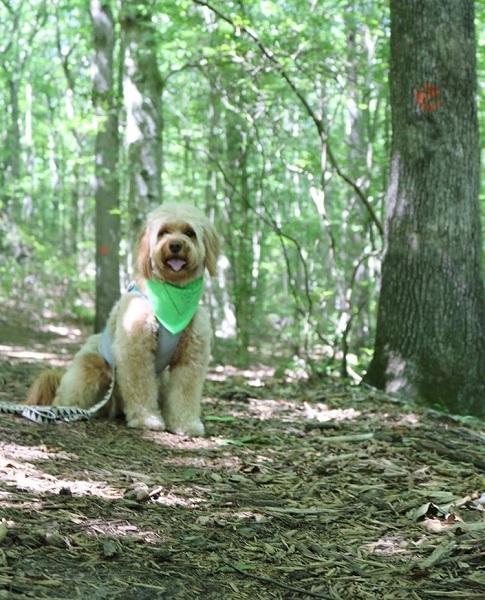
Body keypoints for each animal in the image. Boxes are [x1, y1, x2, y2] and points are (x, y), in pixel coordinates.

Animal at [27, 203, 220, 436]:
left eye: (190, 233)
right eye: (163, 232)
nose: (175, 245)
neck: (172, 293)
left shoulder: (190, 358)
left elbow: (185, 392)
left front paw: (185, 423)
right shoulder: (135, 348)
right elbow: (140, 386)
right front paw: (146, 418)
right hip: (89, 369)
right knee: (69, 395)